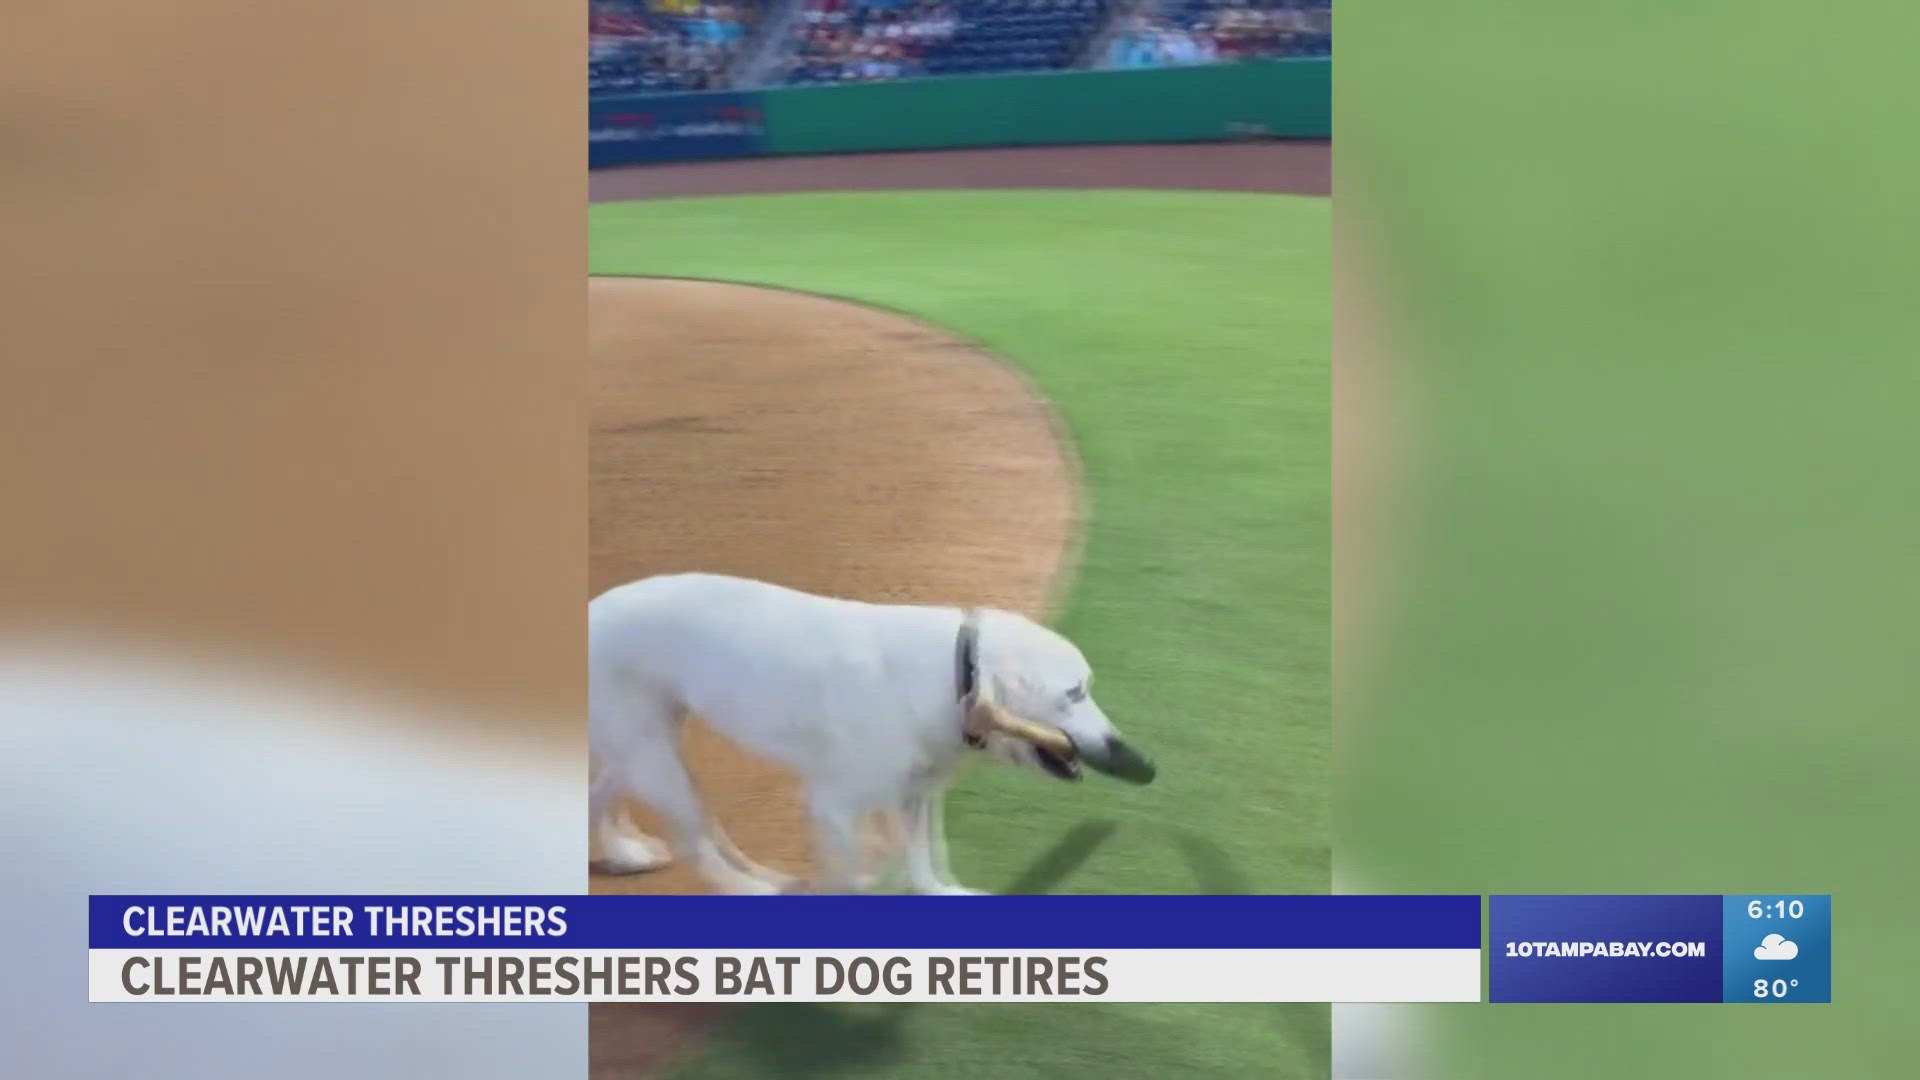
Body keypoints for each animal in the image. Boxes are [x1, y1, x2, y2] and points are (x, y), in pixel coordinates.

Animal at [583, 572, 1152, 891]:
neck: (955, 676)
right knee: (694, 844)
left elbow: (927, 863)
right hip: (656, 759)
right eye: (1074, 693)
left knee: (600, 792)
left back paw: (625, 854)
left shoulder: (916, 793)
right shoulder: (832, 807)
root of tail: (592, 607)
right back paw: (756, 889)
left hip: (646, 742)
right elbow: (854, 877)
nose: (1134, 757)